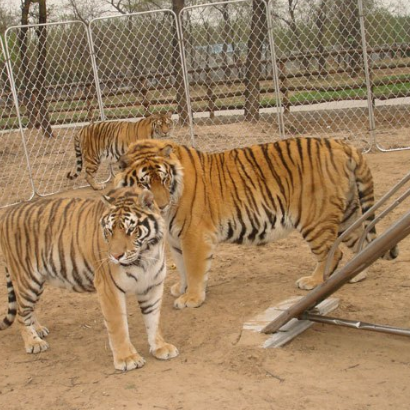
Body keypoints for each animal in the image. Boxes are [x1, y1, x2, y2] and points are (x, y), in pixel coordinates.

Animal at [0, 187, 179, 372]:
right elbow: (118, 326)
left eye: (131, 230)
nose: (115, 256)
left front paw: (160, 347)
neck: (145, 256)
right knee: (21, 314)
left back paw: (39, 330)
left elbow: (153, 320)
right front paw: (127, 358)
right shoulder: (109, 288)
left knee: (27, 309)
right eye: (109, 231)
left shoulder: (152, 285)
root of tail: (7, 213)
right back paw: (34, 342)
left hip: (36, 283)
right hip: (28, 280)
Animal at [114, 137, 398, 308]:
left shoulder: (194, 236)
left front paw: (192, 298)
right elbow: (182, 267)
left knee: (332, 252)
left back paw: (313, 281)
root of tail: (342, 144)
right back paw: (356, 274)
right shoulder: (176, 239)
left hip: (315, 218)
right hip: (347, 214)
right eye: (144, 183)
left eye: (163, 179)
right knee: (360, 241)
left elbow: (194, 269)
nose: (161, 205)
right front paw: (181, 289)